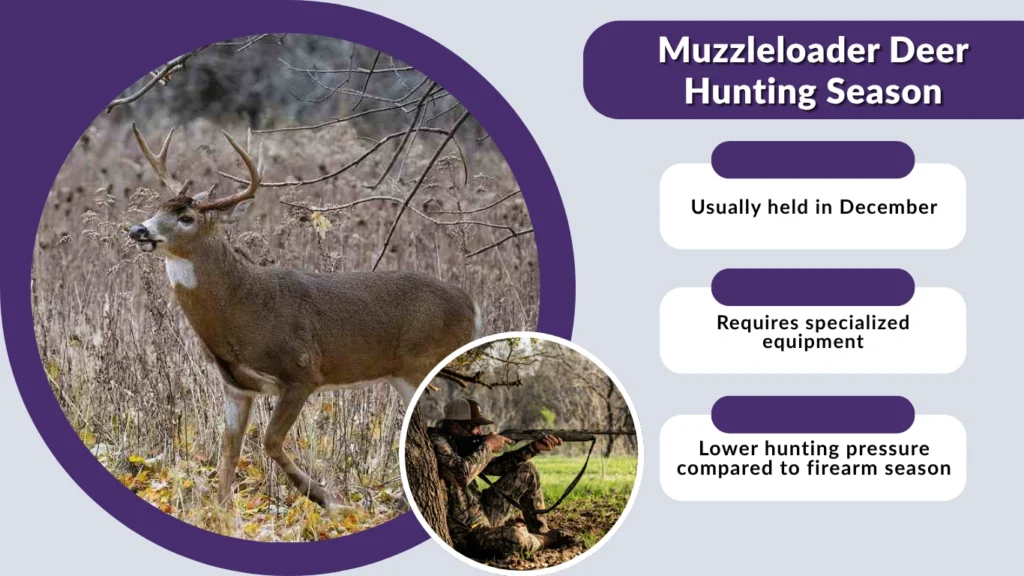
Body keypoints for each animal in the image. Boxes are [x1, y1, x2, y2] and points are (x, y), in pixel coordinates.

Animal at [126, 124, 482, 512]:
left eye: (186, 218)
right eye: (157, 208)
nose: (138, 230)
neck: (242, 311)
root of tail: (472, 305)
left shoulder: (302, 371)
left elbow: (269, 441)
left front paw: (327, 499)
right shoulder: (235, 385)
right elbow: (229, 450)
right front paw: (221, 511)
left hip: (424, 362)